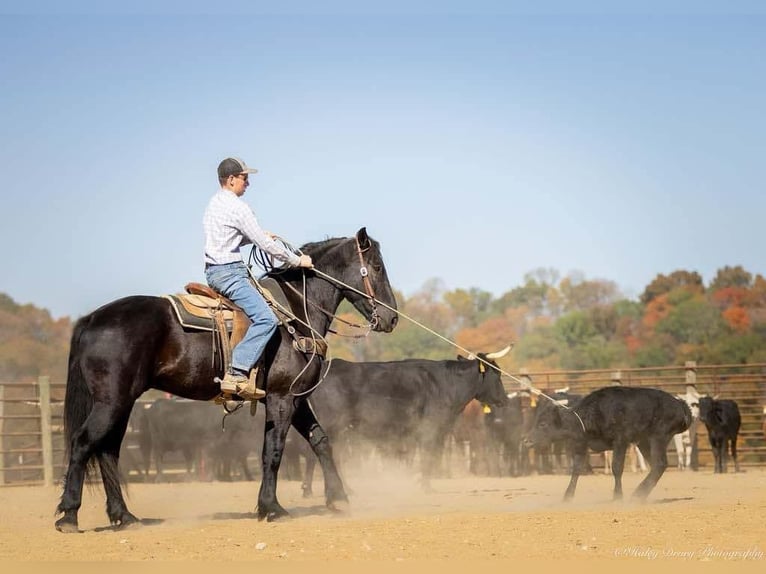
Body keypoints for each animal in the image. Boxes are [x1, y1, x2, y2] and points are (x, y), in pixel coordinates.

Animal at [55, 227, 396, 532]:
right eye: (377, 267)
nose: (392, 318)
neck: (297, 312)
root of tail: (92, 319)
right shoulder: (281, 397)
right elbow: (273, 451)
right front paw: (272, 508)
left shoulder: (295, 397)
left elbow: (321, 441)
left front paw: (338, 499)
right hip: (110, 402)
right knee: (84, 443)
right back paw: (69, 516)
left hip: (122, 403)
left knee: (107, 450)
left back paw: (124, 516)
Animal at [304, 346, 512, 496]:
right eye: (497, 373)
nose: (504, 400)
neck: (447, 383)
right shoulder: (430, 430)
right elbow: (428, 457)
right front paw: (424, 486)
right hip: (333, 427)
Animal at [524, 388, 692, 504]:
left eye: (543, 423)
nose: (526, 440)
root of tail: (680, 404)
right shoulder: (581, 444)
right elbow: (576, 469)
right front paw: (567, 496)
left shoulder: (620, 442)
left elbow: (616, 467)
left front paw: (617, 496)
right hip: (644, 442)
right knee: (657, 466)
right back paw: (640, 494)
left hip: (658, 437)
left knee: (660, 463)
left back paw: (637, 494)